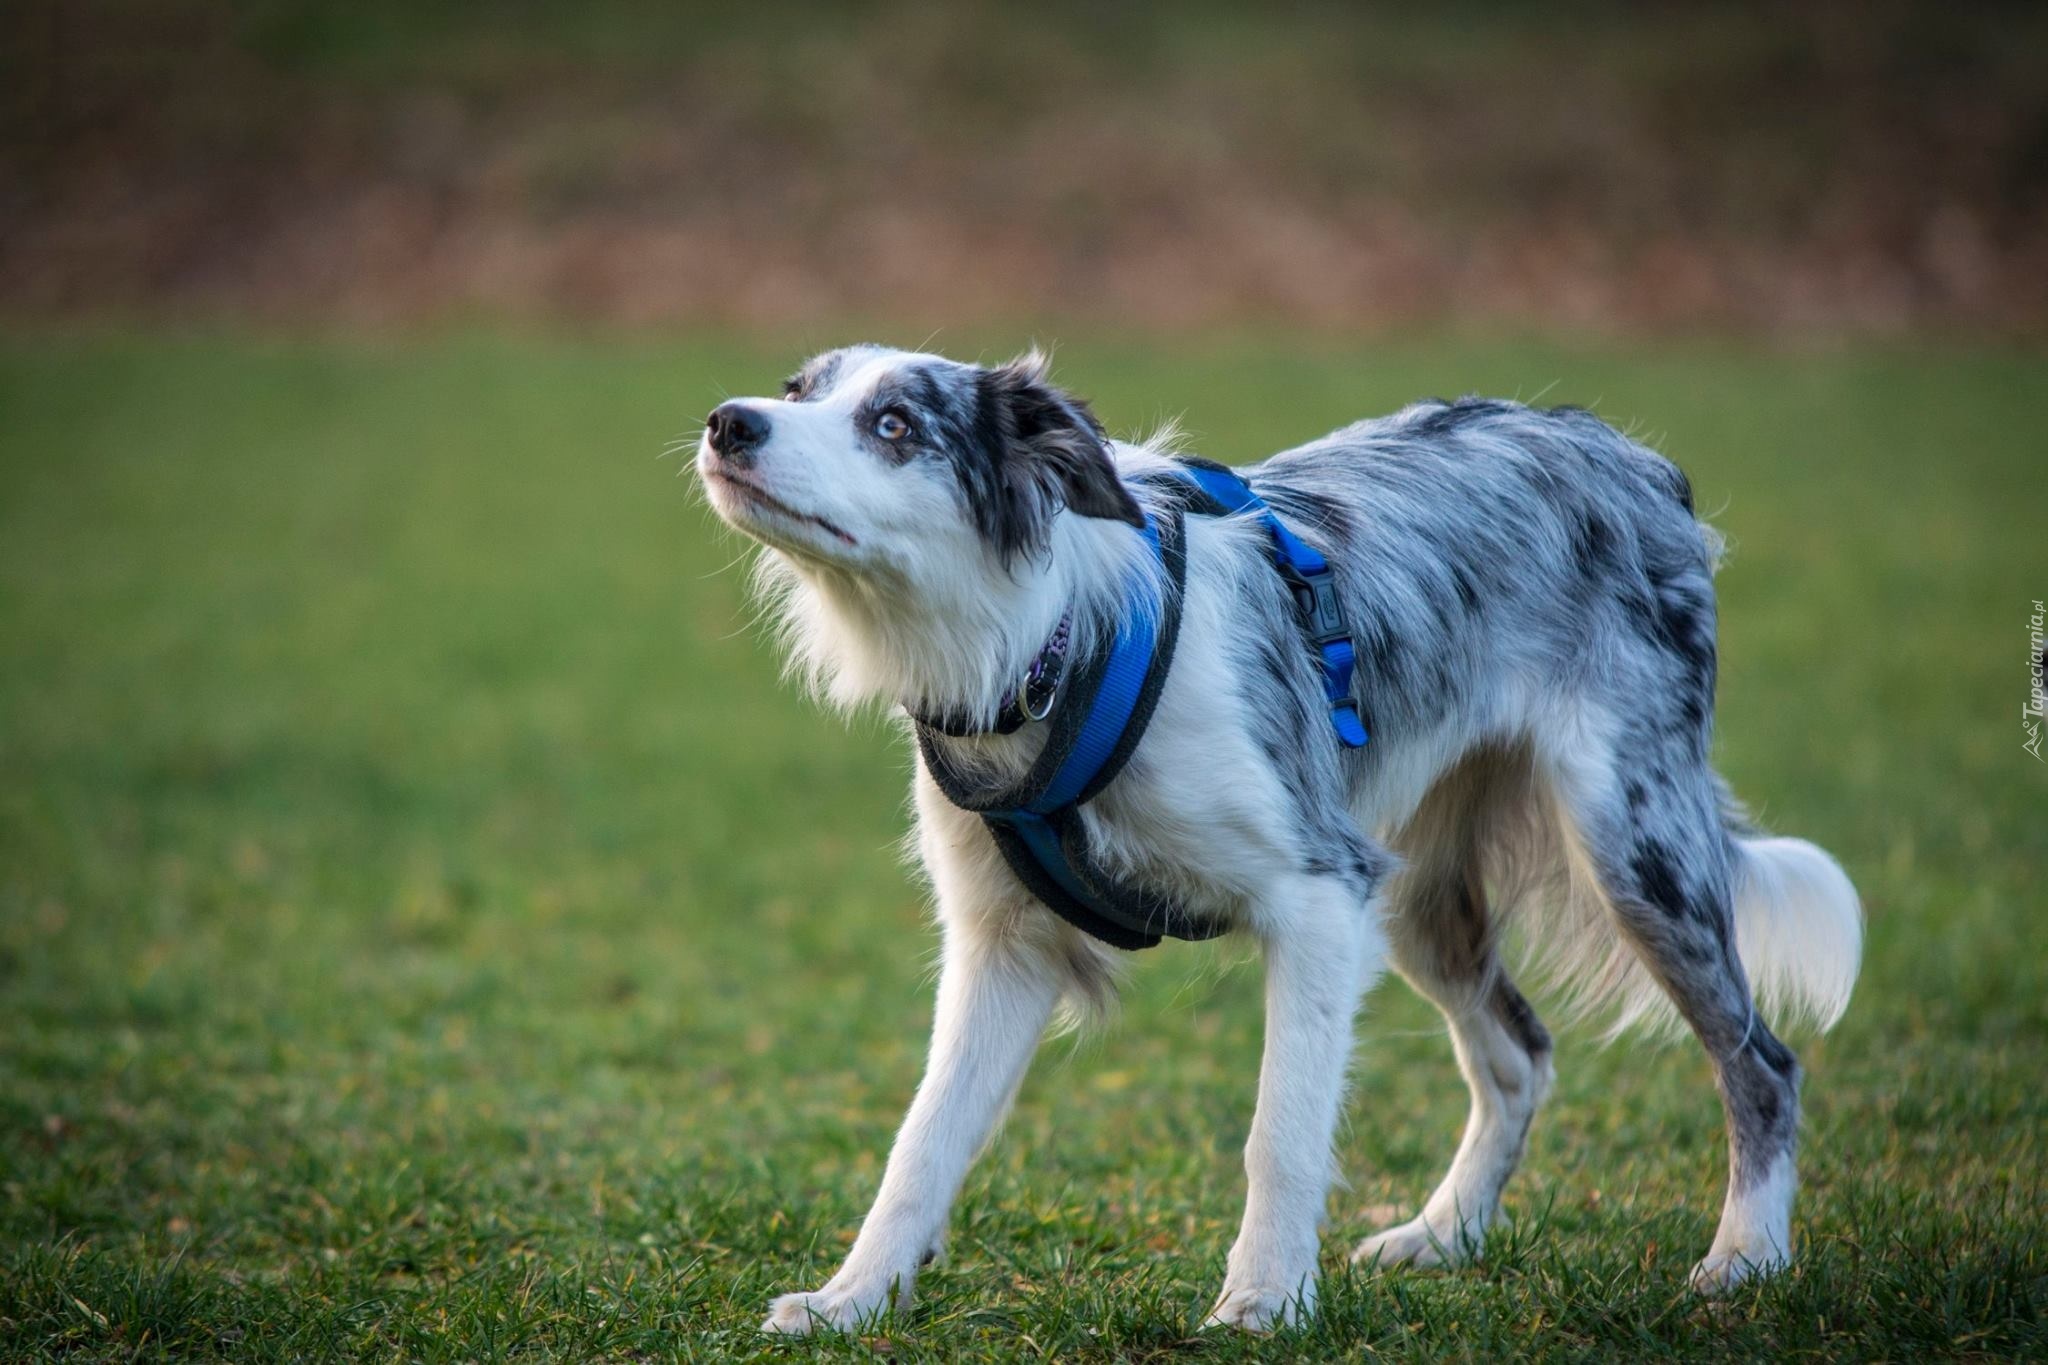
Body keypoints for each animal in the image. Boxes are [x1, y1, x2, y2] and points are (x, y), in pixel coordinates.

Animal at [696, 343, 1867, 1334]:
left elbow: (1282, 1130)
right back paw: (1443, 1235)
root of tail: (1627, 454)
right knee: (1516, 1052)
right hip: (1416, 891)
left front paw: (1263, 1302)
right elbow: (923, 1140)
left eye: (894, 424)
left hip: (1633, 844)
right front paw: (851, 1300)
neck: (1048, 646)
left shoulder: (1315, 895)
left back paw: (1745, 1259)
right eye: (800, 389)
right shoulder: (1004, 948)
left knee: (1760, 1061)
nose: (728, 420)